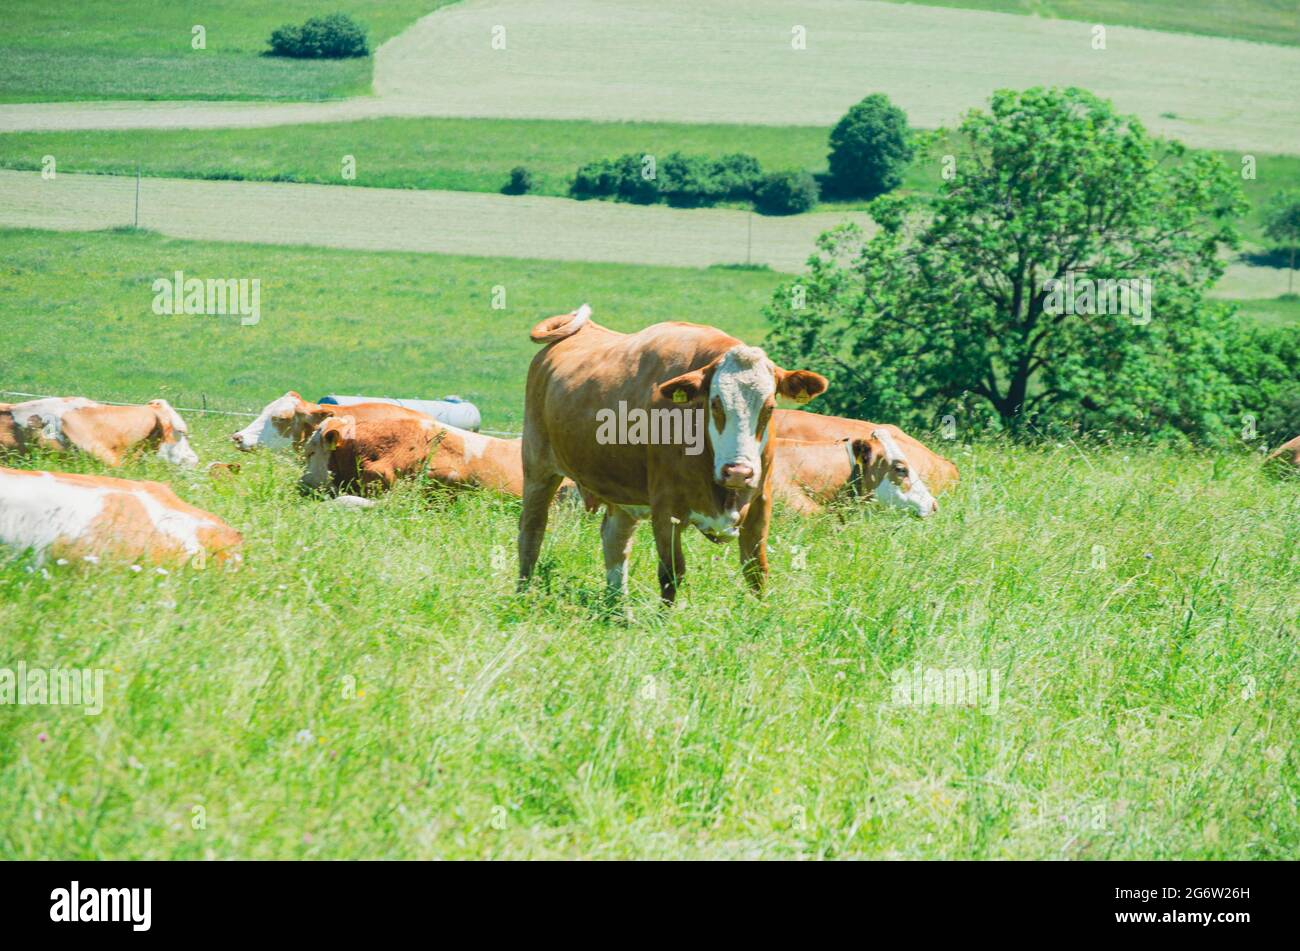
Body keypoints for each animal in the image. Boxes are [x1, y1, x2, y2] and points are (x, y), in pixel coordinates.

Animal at [514, 304, 821, 602]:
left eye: (770, 407)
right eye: (715, 403)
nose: (738, 472)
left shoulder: (760, 503)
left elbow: (756, 571)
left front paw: (759, 611)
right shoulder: (666, 509)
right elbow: (671, 574)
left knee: (615, 541)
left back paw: (618, 609)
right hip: (538, 469)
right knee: (531, 533)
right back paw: (522, 594)